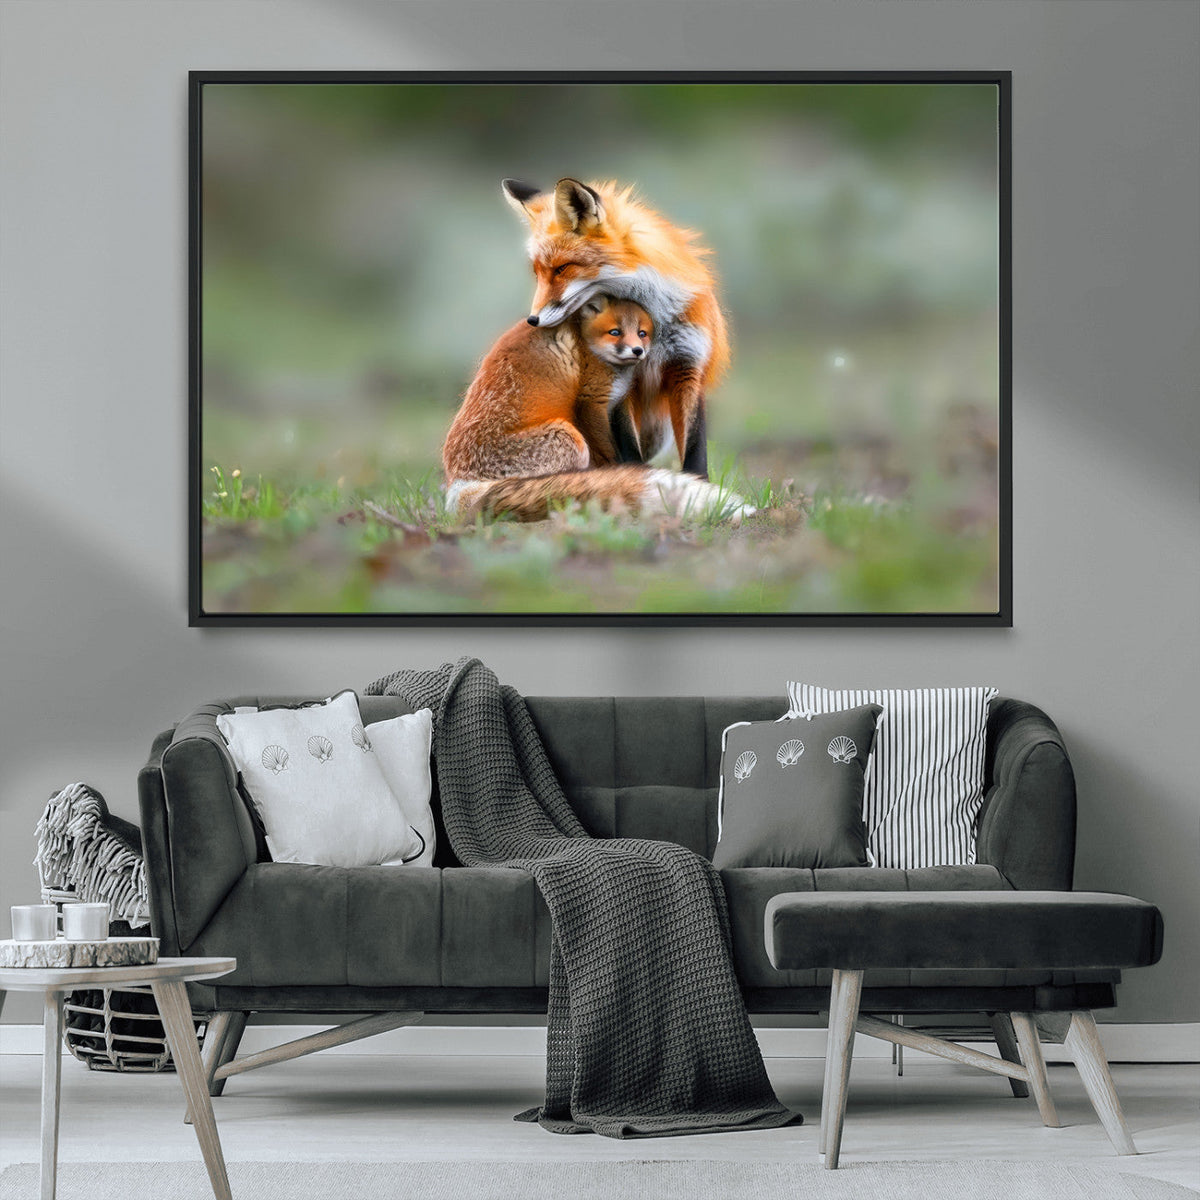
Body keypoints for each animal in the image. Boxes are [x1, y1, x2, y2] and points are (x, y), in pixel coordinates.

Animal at [501, 176, 730, 480]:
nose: (532, 320)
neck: (654, 323)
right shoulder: (622, 381)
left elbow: (695, 450)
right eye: (537, 273)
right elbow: (628, 448)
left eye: (562, 268)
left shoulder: (688, 367)